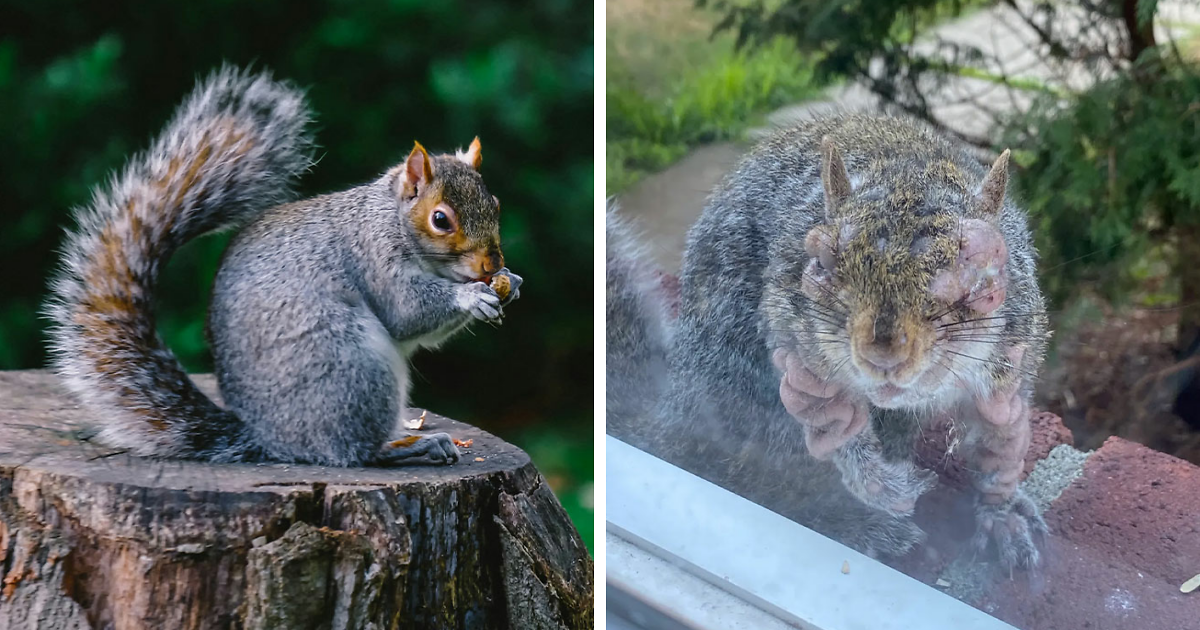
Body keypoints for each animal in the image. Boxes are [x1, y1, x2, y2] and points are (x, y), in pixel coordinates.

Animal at [44, 66, 522, 467]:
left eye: (496, 203)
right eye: (441, 219)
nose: (492, 263)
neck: (390, 219)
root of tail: (268, 439)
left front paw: (510, 283)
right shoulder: (373, 259)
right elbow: (407, 313)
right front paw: (471, 296)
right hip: (350, 367)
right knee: (352, 452)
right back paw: (410, 446)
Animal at [606, 114, 1051, 570]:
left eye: (981, 273)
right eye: (819, 263)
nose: (883, 353)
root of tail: (676, 408)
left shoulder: (1010, 366)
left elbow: (1000, 442)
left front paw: (1002, 512)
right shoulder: (800, 356)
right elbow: (836, 425)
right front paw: (881, 486)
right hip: (741, 378)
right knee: (761, 479)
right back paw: (857, 521)